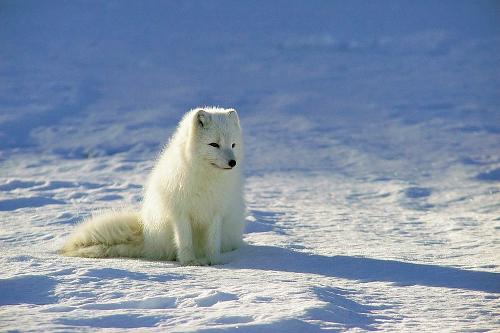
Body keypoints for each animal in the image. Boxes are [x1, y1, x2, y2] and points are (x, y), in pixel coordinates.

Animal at [60, 107, 246, 266]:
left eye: (233, 145)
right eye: (214, 144)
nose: (233, 162)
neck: (207, 179)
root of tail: (147, 236)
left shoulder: (216, 212)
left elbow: (213, 243)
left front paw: (214, 261)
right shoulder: (180, 212)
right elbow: (185, 241)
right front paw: (189, 262)